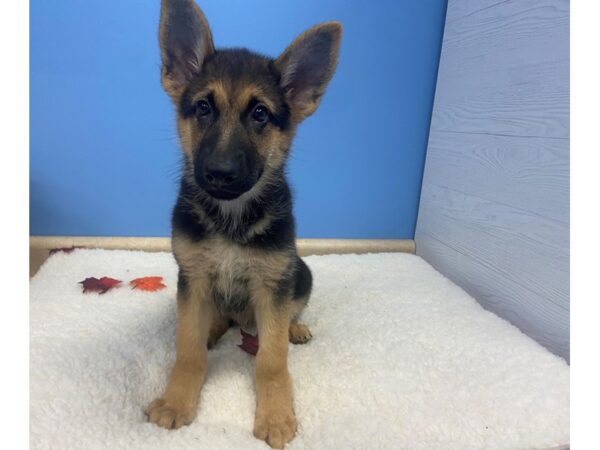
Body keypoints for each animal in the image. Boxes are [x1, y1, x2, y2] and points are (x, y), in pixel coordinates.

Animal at [144, 1, 342, 448]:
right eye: (203, 107)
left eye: (260, 114)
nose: (219, 174)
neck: (230, 217)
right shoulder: (193, 278)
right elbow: (188, 350)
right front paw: (177, 401)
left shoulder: (273, 287)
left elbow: (271, 360)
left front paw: (276, 414)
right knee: (216, 319)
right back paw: (214, 327)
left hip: (299, 272)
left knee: (287, 315)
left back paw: (295, 328)